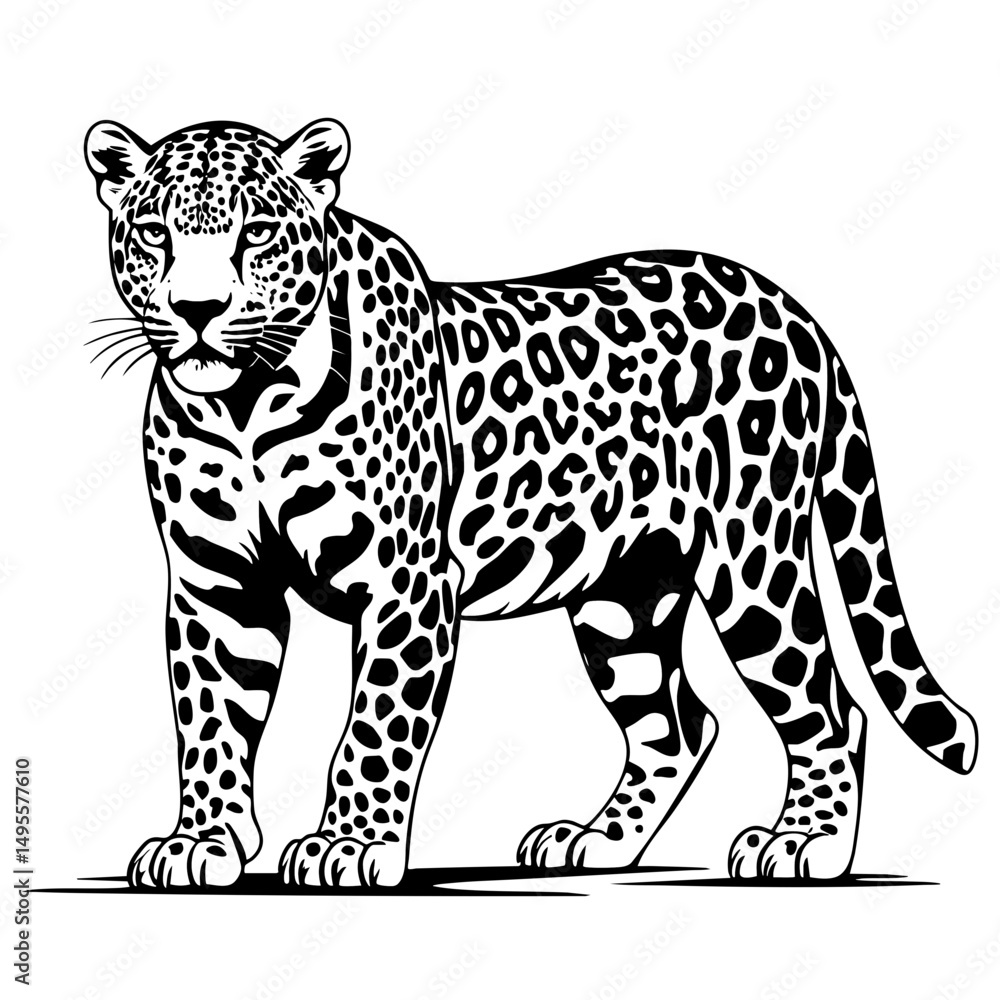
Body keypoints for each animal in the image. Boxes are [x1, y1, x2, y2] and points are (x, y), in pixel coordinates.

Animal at [83, 117, 977, 888]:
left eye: (258, 234)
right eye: (155, 232)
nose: (198, 312)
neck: (245, 407)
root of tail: (793, 310)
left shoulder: (405, 585)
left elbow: (373, 725)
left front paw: (353, 844)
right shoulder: (217, 585)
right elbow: (211, 720)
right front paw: (204, 842)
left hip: (753, 560)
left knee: (831, 707)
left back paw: (803, 844)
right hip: (626, 595)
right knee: (679, 722)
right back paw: (597, 841)